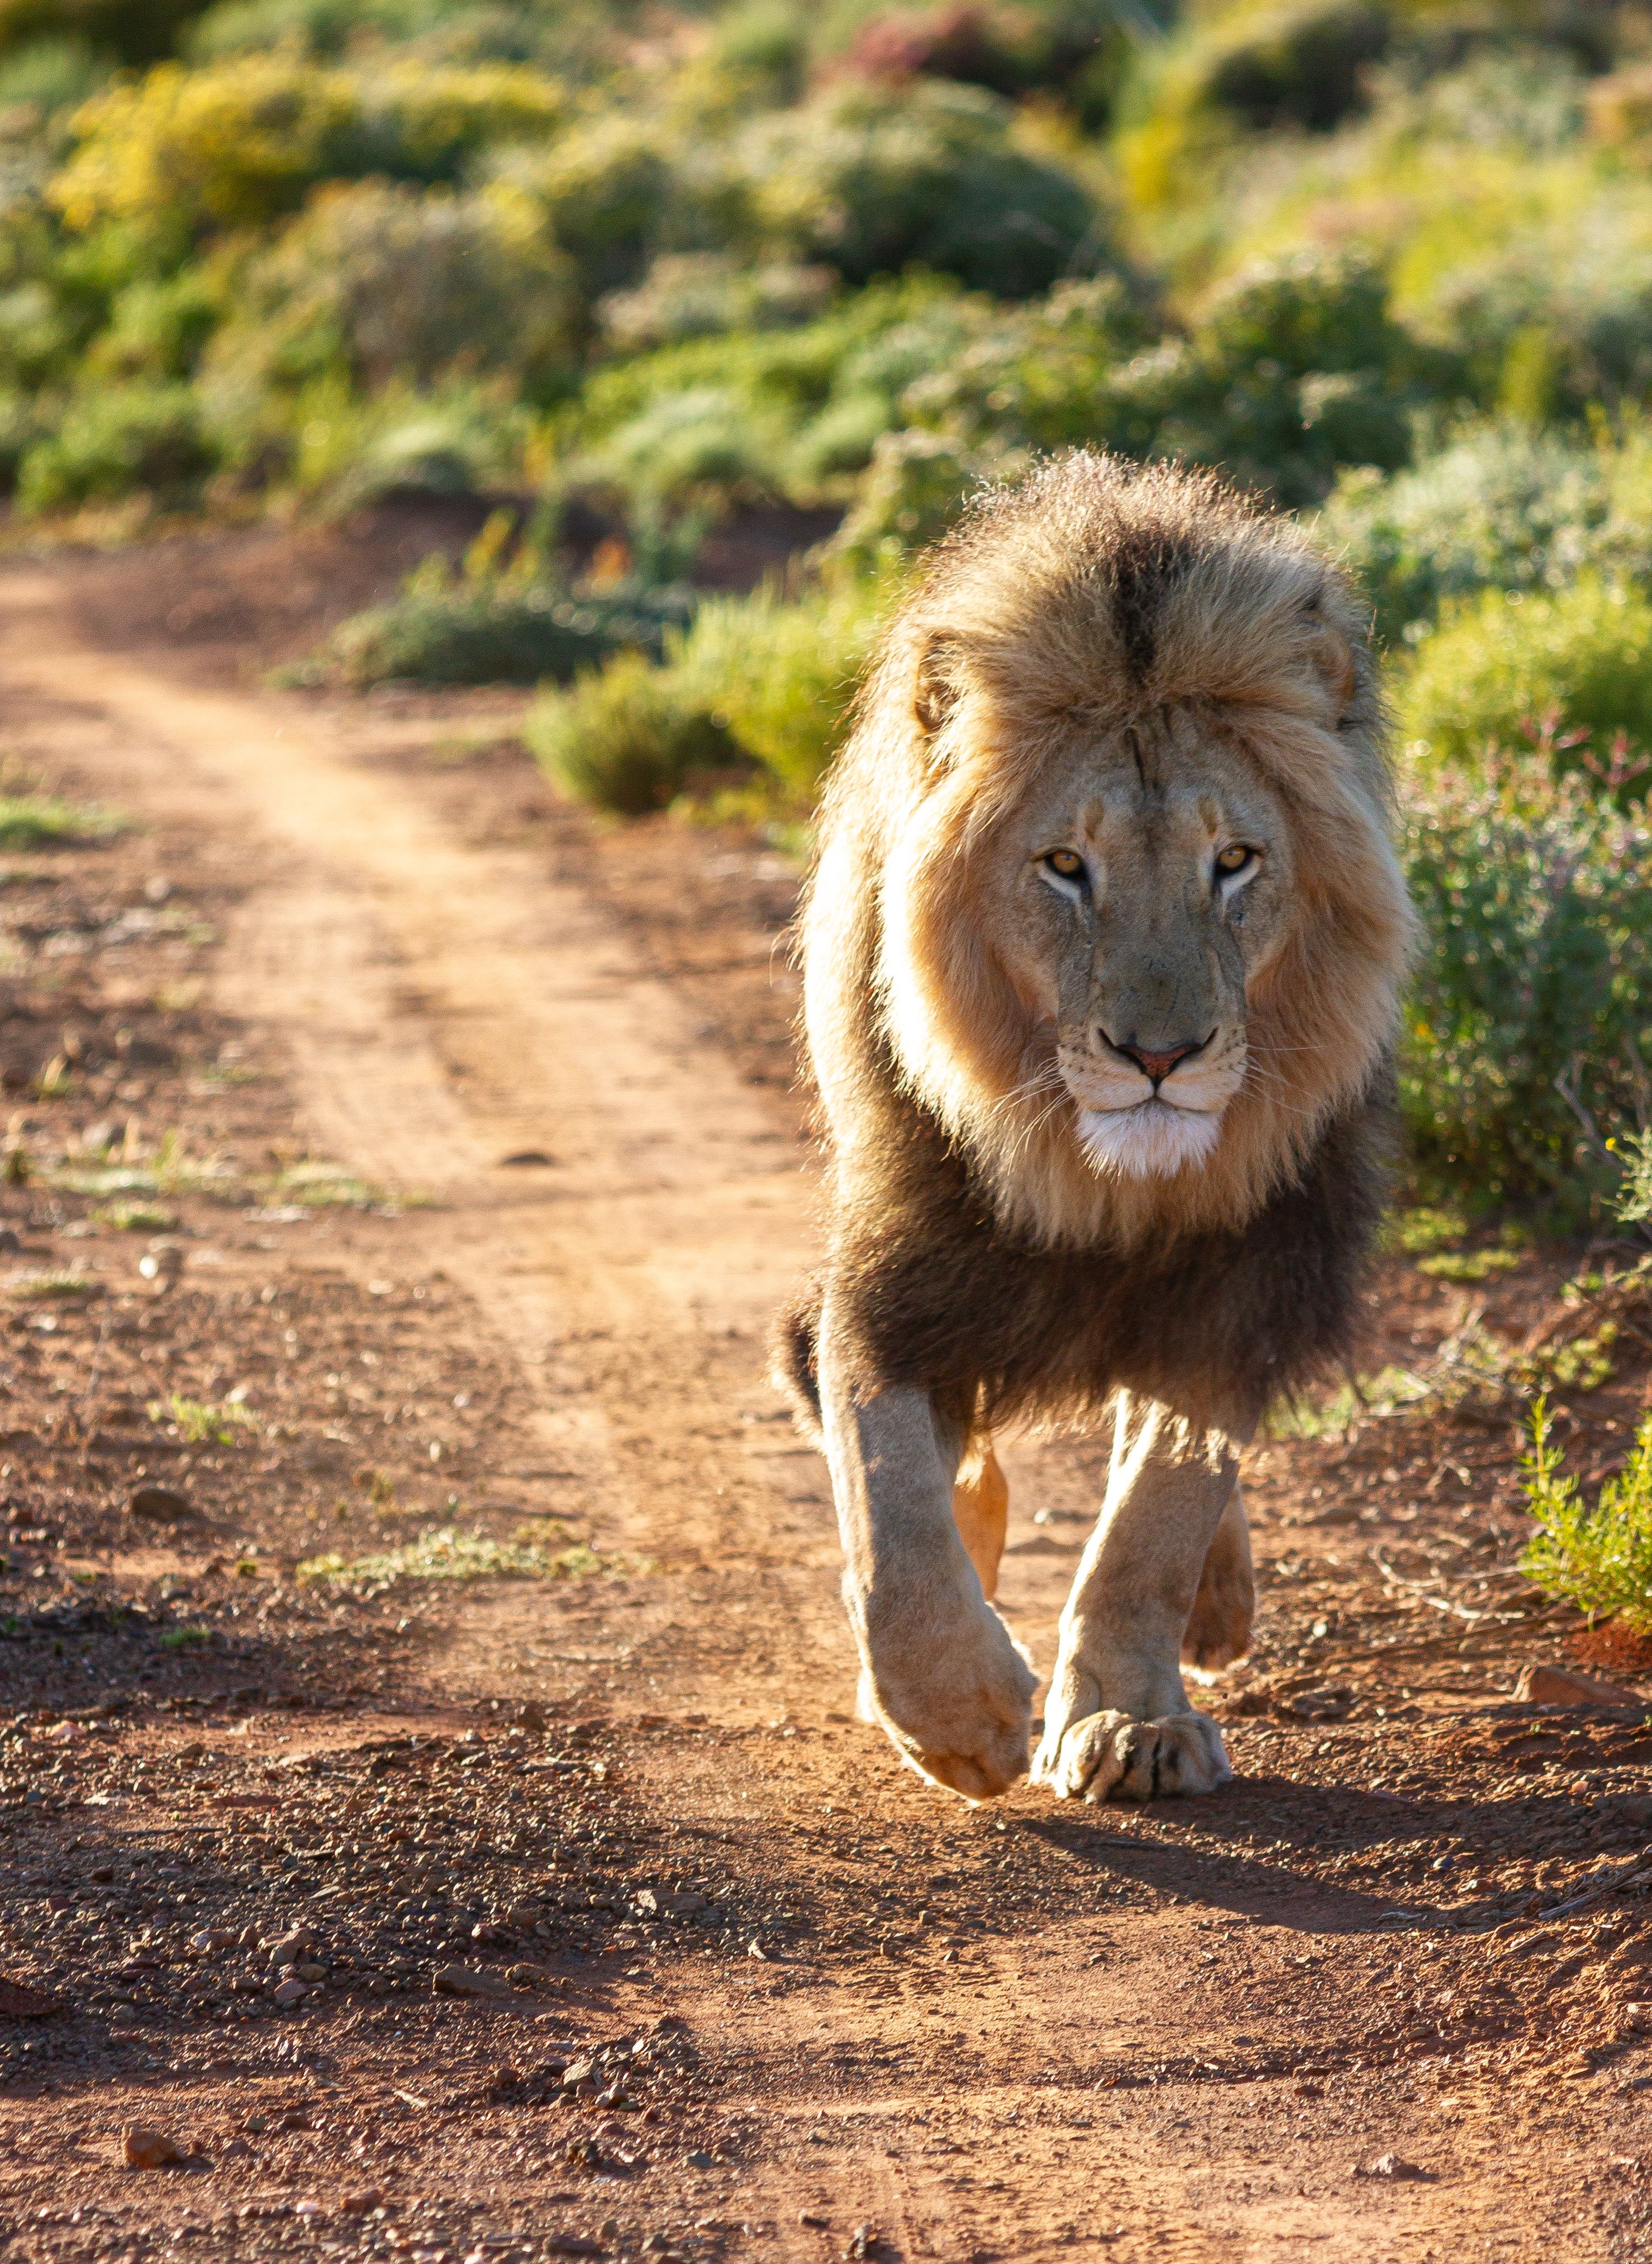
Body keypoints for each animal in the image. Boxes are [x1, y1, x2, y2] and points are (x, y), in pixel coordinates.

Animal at [776, 450, 1415, 1804]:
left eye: (1235, 861)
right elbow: (891, 1496)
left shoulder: (1247, 1285)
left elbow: (1157, 1510)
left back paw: (1214, 1608)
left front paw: (1130, 1718)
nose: (1158, 1057)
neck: (1106, 1182)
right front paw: (954, 1712)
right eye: (1065, 867)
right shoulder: (897, 1275)